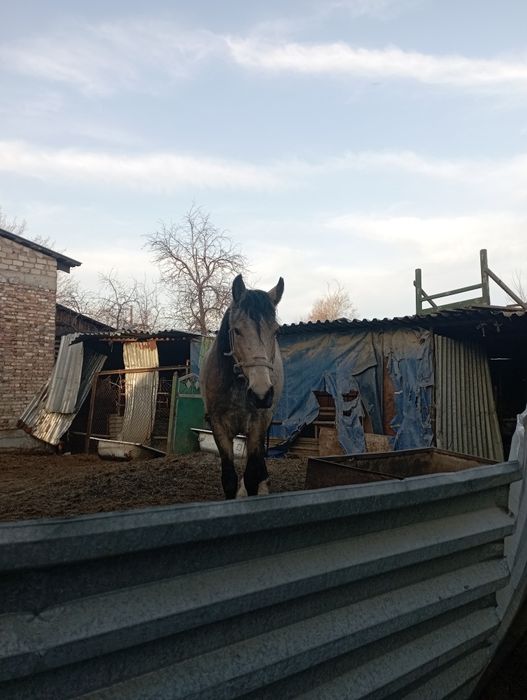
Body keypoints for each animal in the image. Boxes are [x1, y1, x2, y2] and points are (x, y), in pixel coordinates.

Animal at [200, 274, 284, 499]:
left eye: (276, 332)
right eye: (237, 331)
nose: (261, 394)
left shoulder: (257, 425)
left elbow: (251, 478)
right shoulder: (219, 426)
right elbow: (229, 480)